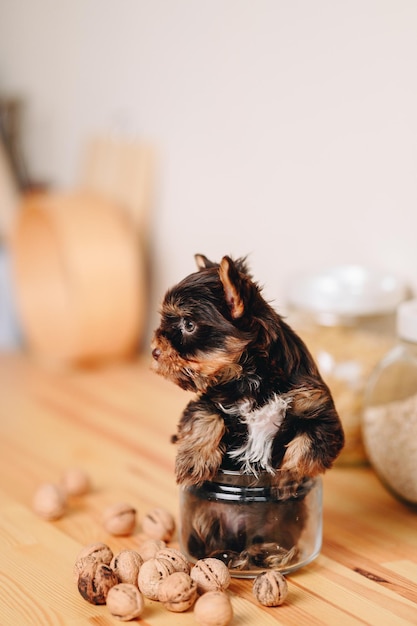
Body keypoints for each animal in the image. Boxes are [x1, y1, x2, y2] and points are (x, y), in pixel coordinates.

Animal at [151, 254, 342, 488]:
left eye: (188, 325)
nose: (155, 351)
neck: (250, 378)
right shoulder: (209, 400)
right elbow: (204, 416)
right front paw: (194, 460)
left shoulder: (318, 410)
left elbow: (308, 445)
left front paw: (288, 477)